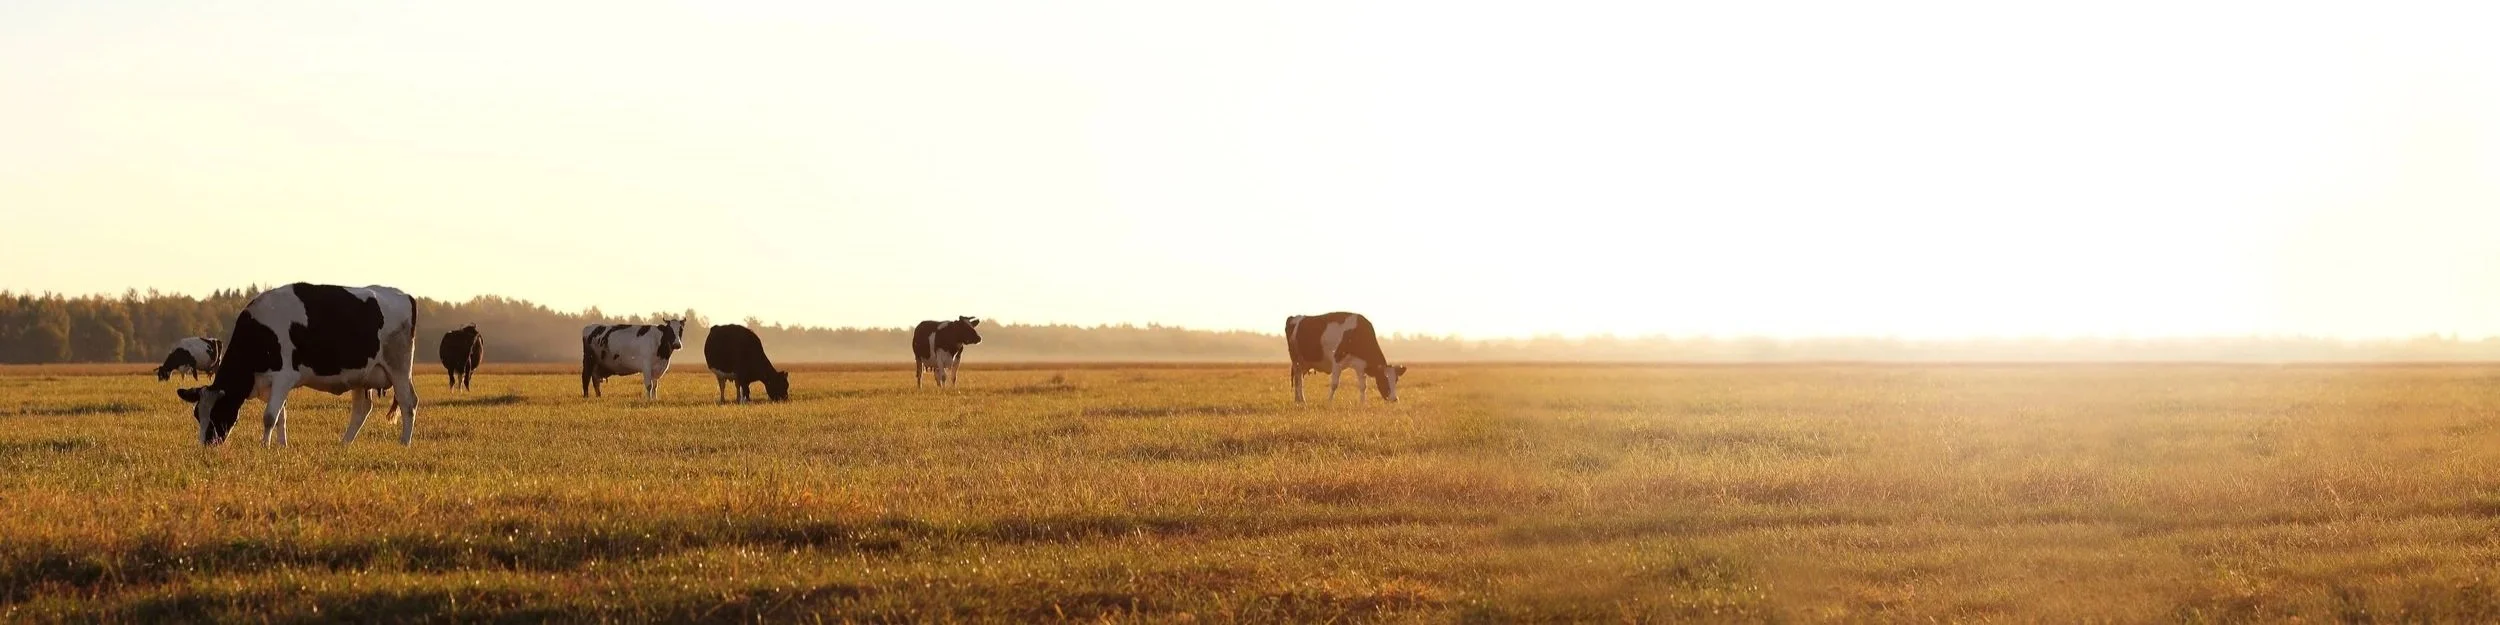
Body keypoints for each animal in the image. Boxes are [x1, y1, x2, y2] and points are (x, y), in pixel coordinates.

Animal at [173, 283, 420, 446]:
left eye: (218, 411)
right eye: (198, 414)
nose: (206, 445)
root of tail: (404, 295)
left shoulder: (284, 377)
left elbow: (269, 416)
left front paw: (264, 447)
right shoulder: (275, 384)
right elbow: (281, 416)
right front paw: (281, 446)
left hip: (398, 367)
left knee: (408, 402)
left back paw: (404, 443)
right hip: (361, 375)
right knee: (362, 409)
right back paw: (344, 444)